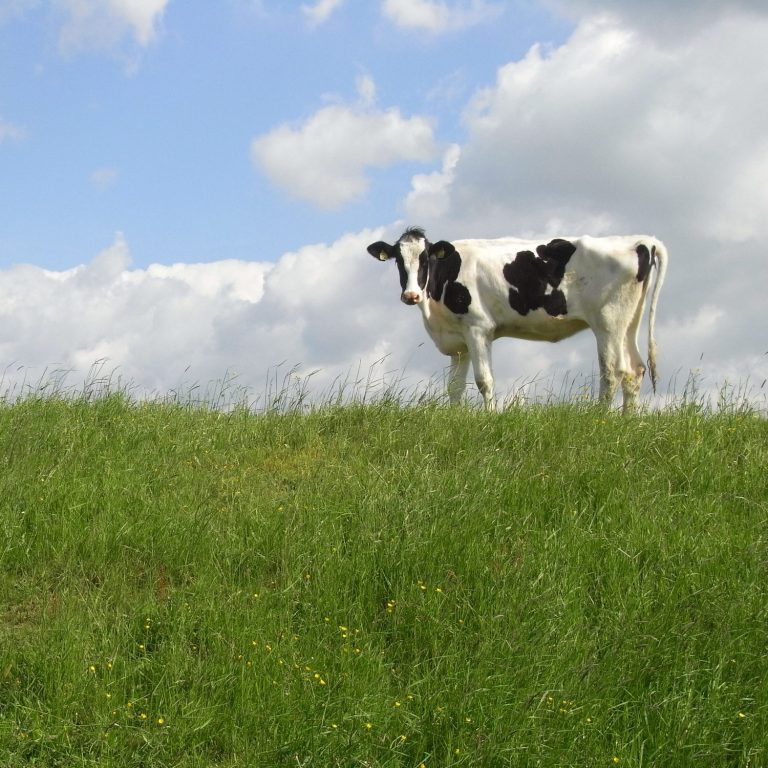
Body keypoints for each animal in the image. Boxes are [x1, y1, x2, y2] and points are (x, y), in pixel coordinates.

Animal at [366, 226, 664, 412]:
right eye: (398, 261)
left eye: (426, 259)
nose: (411, 295)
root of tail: (642, 240)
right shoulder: (459, 342)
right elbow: (454, 387)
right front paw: (456, 419)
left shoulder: (478, 328)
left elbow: (484, 380)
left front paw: (489, 417)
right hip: (628, 322)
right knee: (635, 370)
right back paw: (627, 421)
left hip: (607, 322)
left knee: (613, 371)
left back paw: (600, 418)